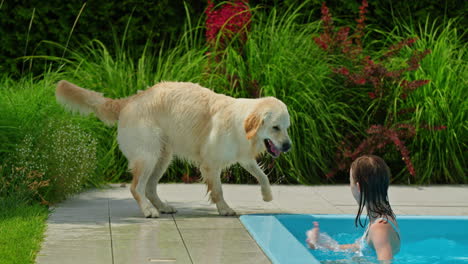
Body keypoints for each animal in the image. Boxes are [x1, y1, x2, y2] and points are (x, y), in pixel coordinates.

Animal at [56, 80, 290, 217]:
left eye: (287, 128)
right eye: (275, 127)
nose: (288, 146)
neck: (240, 124)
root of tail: (130, 100)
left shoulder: (244, 157)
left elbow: (262, 175)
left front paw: (267, 196)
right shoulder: (210, 164)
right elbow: (218, 190)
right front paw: (224, 209)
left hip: (163, 157)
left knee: (150, 188)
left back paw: (162, 207)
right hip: (148, 156)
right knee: (136, 187)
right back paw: (149, 211)